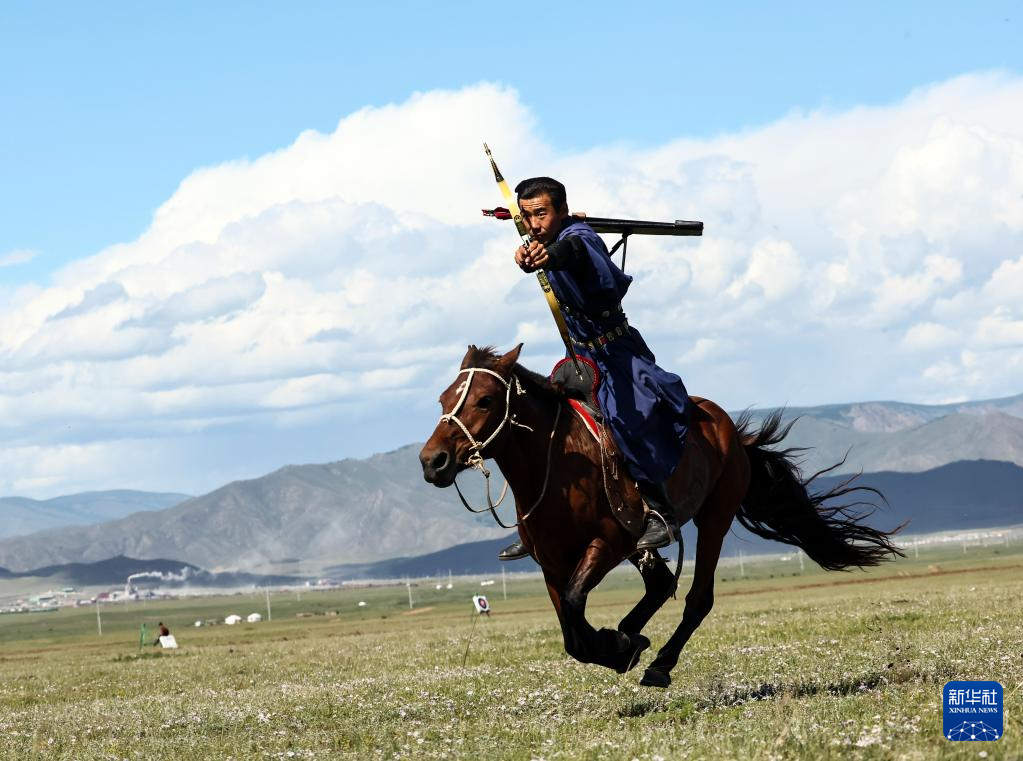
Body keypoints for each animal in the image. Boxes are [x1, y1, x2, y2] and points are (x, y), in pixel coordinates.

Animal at [419, 344, 902, 688]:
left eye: (484, 400)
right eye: (442, 399)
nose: (432, 461)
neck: (558, 467)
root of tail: (730, 430)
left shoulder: (606, 544)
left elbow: (576, 609)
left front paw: (617, 647)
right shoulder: (551, 563)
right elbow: (571, 633)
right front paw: (619, 644)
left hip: (713, 519)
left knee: (697, 597)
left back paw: (659, 662)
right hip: (643, 544)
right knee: (661, 583)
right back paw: (633, 634)